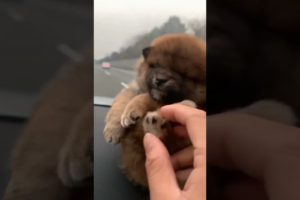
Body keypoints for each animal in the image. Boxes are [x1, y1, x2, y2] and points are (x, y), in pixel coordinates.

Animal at [103, 33, 206, 187]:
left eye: (182, 74)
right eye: (156, 66)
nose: (160, 80)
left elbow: (145, 97)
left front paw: (133, 110)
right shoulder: (134, 88)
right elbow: (121, 101)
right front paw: (113, 130)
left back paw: (156, 124)